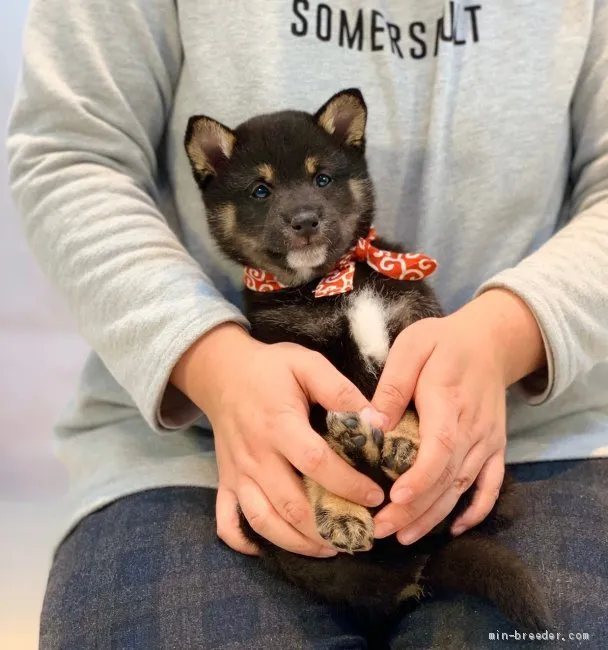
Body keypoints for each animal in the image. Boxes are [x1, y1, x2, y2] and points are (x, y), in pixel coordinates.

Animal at [183, 88, 548, 632]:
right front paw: (344, 510)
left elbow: (409, 400)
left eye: (323, 178)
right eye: (260, 191)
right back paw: (354, 450)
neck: (332, 283)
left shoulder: (411, 328)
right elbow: (316, 451)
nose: (305, 220)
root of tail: (414, 568)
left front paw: (405, 441)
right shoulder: (302, 367)